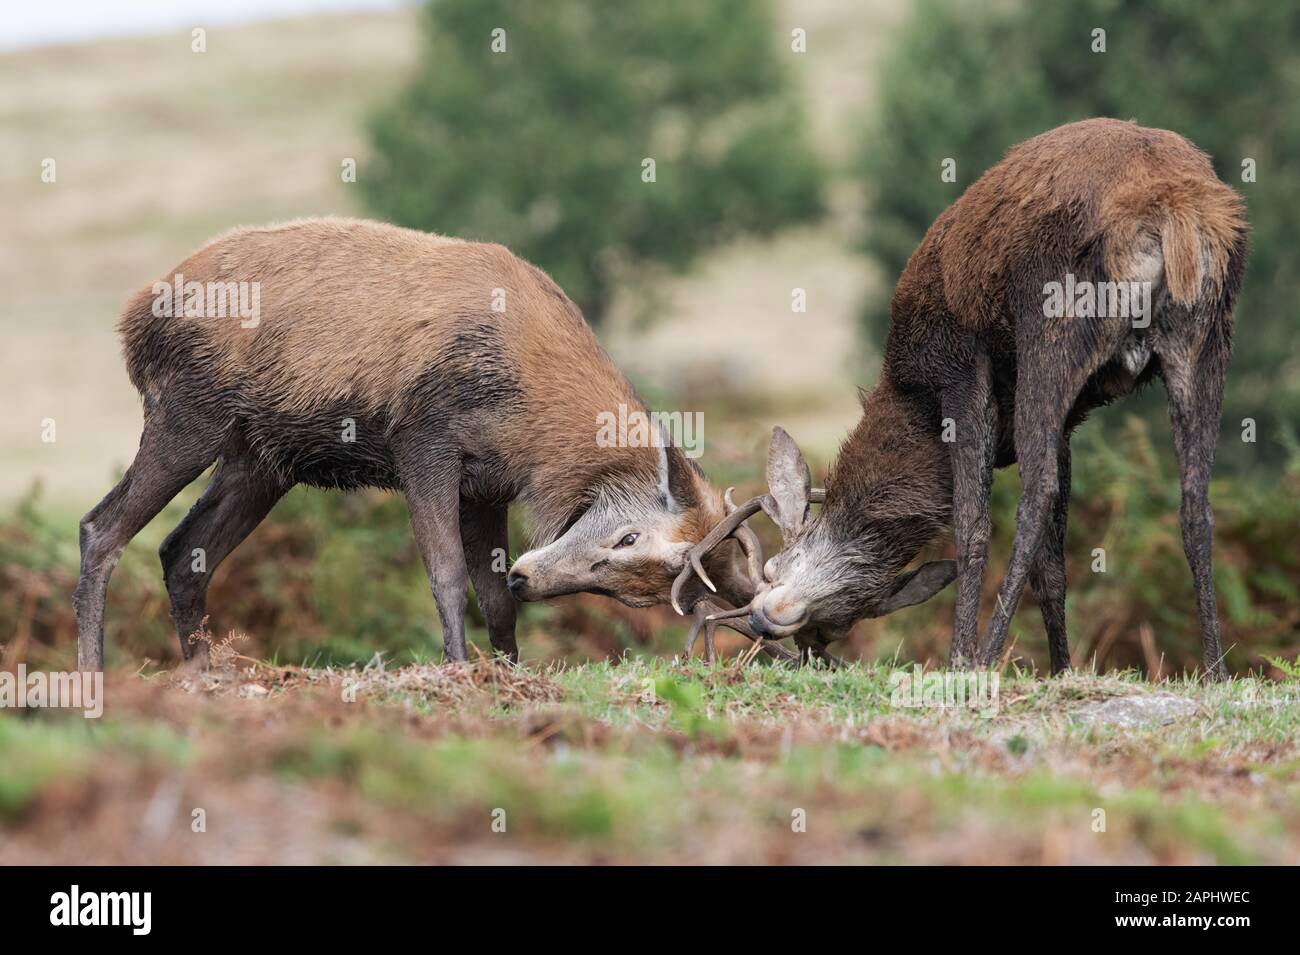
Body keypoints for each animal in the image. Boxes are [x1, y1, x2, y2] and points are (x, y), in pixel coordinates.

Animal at [76, 216, 785, 670]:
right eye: (629, 536)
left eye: (636, 594)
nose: (533, 576)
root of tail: (132, 320)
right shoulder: (424, 441)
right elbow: (444, 575)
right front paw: (458, 667)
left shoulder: (488, 487)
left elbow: (494, 598)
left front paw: (509, 671)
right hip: (188, 416)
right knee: (101, 528)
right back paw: (93, 677)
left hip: (262, 462)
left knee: (182, 551)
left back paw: (203, 675)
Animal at [681, 119, 1248, 675]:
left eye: (776, 567)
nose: (764, 621)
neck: (909, 392)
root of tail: (1172, 210)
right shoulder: (1069, 423)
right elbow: (1054, 566)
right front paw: (1063, 668)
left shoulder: (958, 370)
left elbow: (973, 523)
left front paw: (961, 657)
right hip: (1207, 335)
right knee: (1195, 502)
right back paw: (1215, 669)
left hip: (1052, 321)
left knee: (1035, 494)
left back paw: (983, 655)